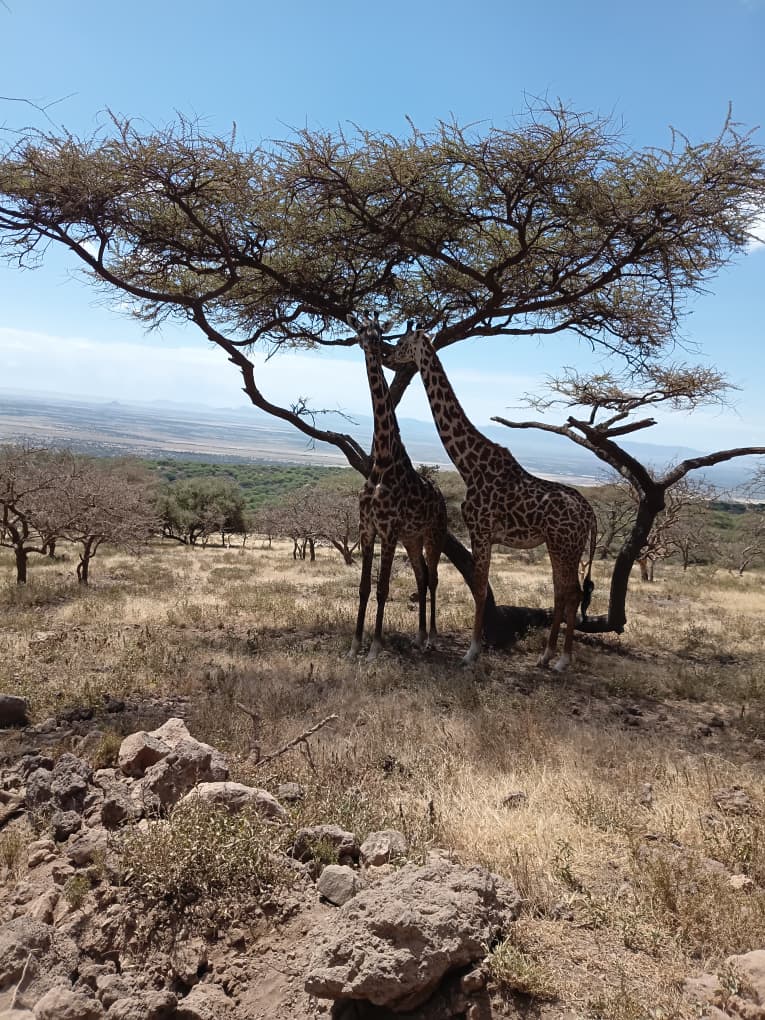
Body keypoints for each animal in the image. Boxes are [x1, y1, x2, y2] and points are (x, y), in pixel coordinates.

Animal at [348, 313, 448, 660]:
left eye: (380, 331)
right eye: (362, 330)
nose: (375, 344)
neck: (381, 461)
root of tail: (443, 499)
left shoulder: (388, 529)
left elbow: (383, 588)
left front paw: (376, 647)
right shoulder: (367, 527)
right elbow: (364, 587)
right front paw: (355, 645)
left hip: (433, 534)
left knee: (433, 578)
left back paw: (432, 637)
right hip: (412, 538)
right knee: (421, 576)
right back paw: (419, 637)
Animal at [381, 325, 597, 670]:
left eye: (402, 344)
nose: (387, 357)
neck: (468, 464)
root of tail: (590, 513)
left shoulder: (480, 530)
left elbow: (480, 590)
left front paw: (471, 652)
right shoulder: (486, 535)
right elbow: (479, 588)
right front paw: (473, 649)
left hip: (565, 545)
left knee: (573, 593)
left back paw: (562, 660)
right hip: (562, 546)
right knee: (563, 592)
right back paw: (546, 656)